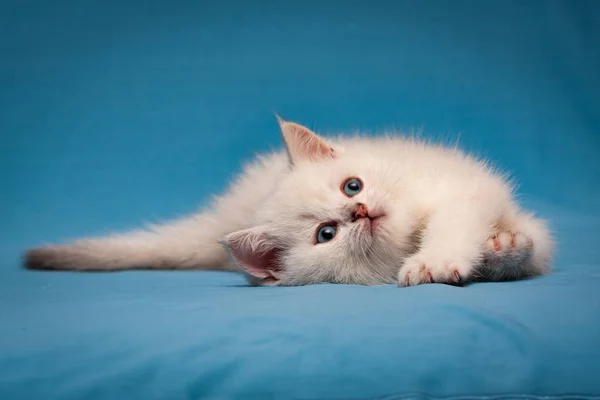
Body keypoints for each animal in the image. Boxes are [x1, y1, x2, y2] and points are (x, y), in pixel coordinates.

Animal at [25, 116, 556, 288]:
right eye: (327, 234)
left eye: (352, 187)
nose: (359, 211)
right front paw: (441, 261)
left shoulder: (460, 184)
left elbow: (490, 223)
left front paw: (501, 247)